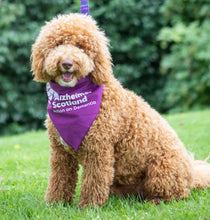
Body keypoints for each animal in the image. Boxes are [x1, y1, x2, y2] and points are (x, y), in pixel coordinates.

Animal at [31, 13, 210, 206]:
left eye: (80, 46)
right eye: (57, 45)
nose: (66, 63)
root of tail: (191, 176)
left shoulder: (98, 150)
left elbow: (94, 181)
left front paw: (88, 206)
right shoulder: (60, 152)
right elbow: (59, 179)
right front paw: (54, 204)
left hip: (161, 171)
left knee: (175, 194)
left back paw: (154, 200)